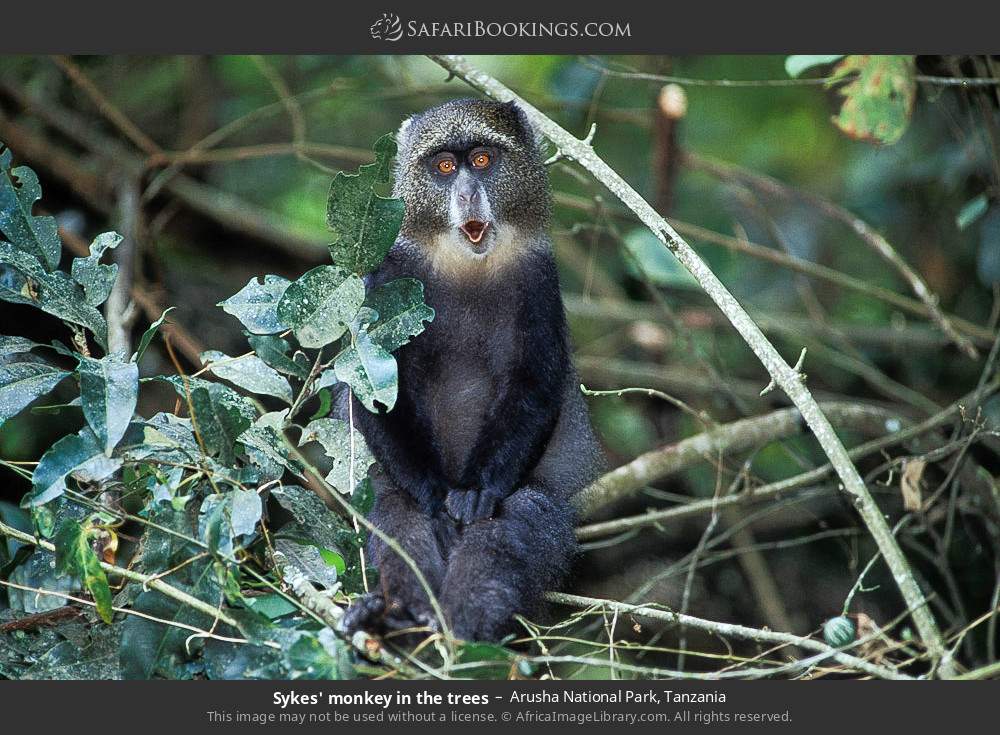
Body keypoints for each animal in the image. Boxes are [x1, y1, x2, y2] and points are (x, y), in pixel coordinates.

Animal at [341, 98, 605, 643]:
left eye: (482, 159)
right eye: (444, 166)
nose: (466, 193)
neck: (467, 266)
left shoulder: (538, 280)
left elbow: (533, 387)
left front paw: (478, 493)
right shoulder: (390, 276)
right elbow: (372, 392)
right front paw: (434, 499)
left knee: (515, 522)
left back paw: (465, 626)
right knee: (397, 515)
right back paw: (399, 616)